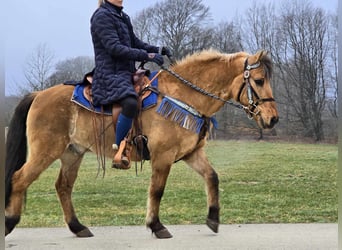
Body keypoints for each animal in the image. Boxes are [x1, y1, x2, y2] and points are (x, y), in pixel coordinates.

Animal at [4, 48, 278, 238]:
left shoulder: (191, 153)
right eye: (259, 80)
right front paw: (156, 225)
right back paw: (9, 222)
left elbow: (212, 177)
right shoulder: (163, 156)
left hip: (73, 153)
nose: (273, 118)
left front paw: (213, 218)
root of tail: (39, 94)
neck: (182, 96)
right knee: (19, 179)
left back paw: (78, 227)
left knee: (63, 187)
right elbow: (157, 190)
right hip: (46, 151)